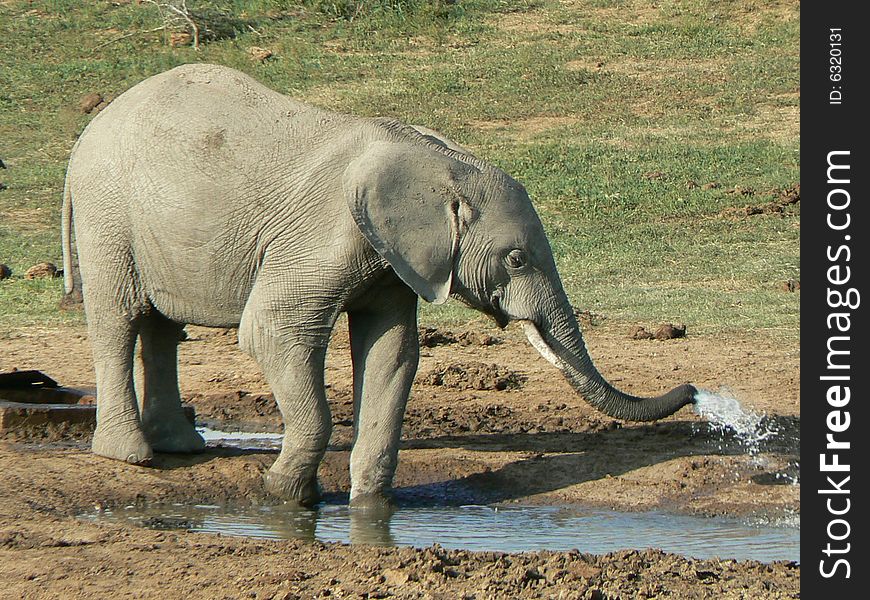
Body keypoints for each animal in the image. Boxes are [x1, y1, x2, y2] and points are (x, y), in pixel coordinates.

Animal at [61, 64, 700, 506]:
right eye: (516, 260)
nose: (694, 390)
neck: (439, 162)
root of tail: (90, 128)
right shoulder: (325, 234)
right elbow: (272, 331)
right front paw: (283, 495)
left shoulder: (395, 258)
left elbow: (391, 351)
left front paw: (371, 503)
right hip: (106, 214)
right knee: (119, 318)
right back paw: (133, 457)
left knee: (162, 327)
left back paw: (180, 446)